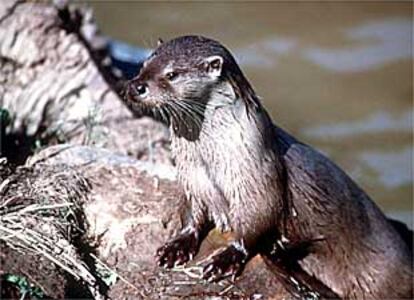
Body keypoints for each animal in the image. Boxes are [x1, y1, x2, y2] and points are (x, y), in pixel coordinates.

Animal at [124, 36, 412, 298]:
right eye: (144, 64)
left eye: (172, 74)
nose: (136, 86)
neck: (212, 163)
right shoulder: (193, 181)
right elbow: (191, 214)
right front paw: (176, 246)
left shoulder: (258, 182)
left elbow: (257, 222)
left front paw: (225, 259)